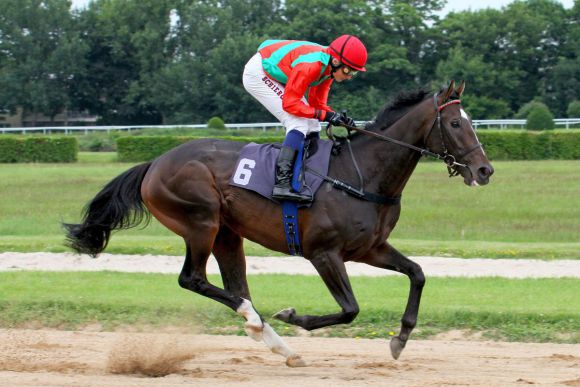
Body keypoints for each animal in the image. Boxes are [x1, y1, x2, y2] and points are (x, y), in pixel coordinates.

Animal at [64, 81, 494, 366]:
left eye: (472, 120)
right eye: (456, 124)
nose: (484, 170)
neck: (361, 175)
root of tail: (155, 163)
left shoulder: (369, 248)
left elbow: (417, 273)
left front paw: (400, 339)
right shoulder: (323, 253)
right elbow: (350, 309)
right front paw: (292, 316)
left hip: (227, 233)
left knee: (236, 287)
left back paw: (274, 341)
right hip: (201, 221)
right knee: (193, 279)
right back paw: (257, 322)